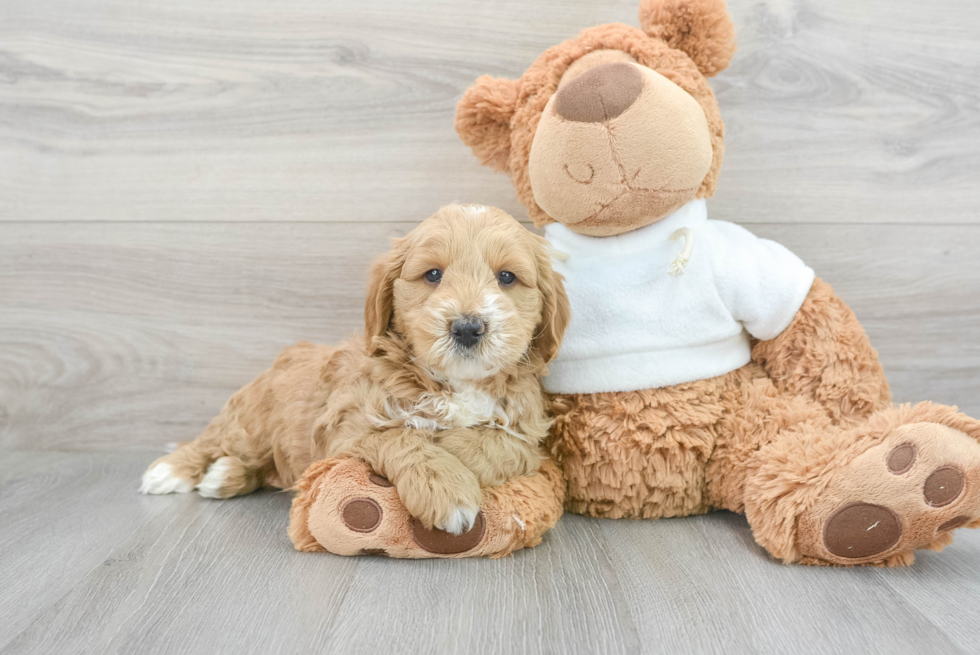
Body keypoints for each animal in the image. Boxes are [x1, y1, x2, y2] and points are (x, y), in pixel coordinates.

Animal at [142, 208, 572, 536]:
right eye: (433, 275)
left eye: (506, 277)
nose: (467, 327)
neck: (454, 382)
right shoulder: (345, 426)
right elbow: (399, 436)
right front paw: (446, 488)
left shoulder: (529, 431)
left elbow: (502, 444)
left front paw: (450, 442)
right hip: (250, 421)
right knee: (213, 439)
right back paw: (171, 471)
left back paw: (224, 476)